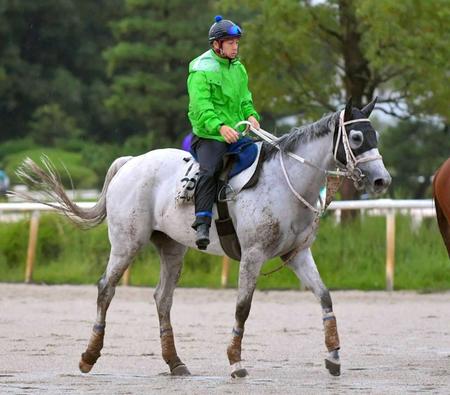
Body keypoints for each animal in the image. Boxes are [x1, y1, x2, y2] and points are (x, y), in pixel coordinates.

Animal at [16, 97, 390, 378]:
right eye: (357, 139)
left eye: (376, 136)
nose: (381, 181)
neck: (286, 182)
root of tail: (131, 162)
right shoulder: (253, 255)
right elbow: (242, 308)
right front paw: (236, 361)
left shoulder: (297, 255)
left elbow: (325, 297)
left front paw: (334, 356)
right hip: (126, 244)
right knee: (105, 289)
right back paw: (89, 357)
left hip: (171, 249)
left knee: (162, 298)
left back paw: (175, 363)